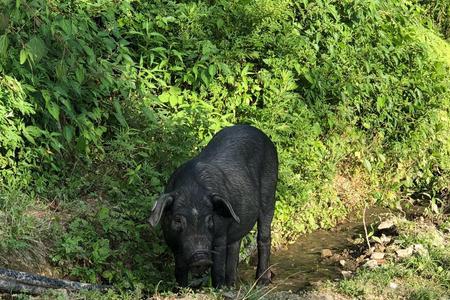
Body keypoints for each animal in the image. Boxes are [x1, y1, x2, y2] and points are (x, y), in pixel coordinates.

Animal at [149, 125, 278, 288]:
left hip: (270, 194)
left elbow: (217, 268)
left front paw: (218, 288)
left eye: (210, 218)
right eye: (178, 219)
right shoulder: (172, 242)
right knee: (235, 246)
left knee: (264, 237)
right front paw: (181, 289)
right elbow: (179, 271)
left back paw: (262, 282)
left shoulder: (220, 235)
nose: (201, 257)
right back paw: (231, 284)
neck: (192, 189)